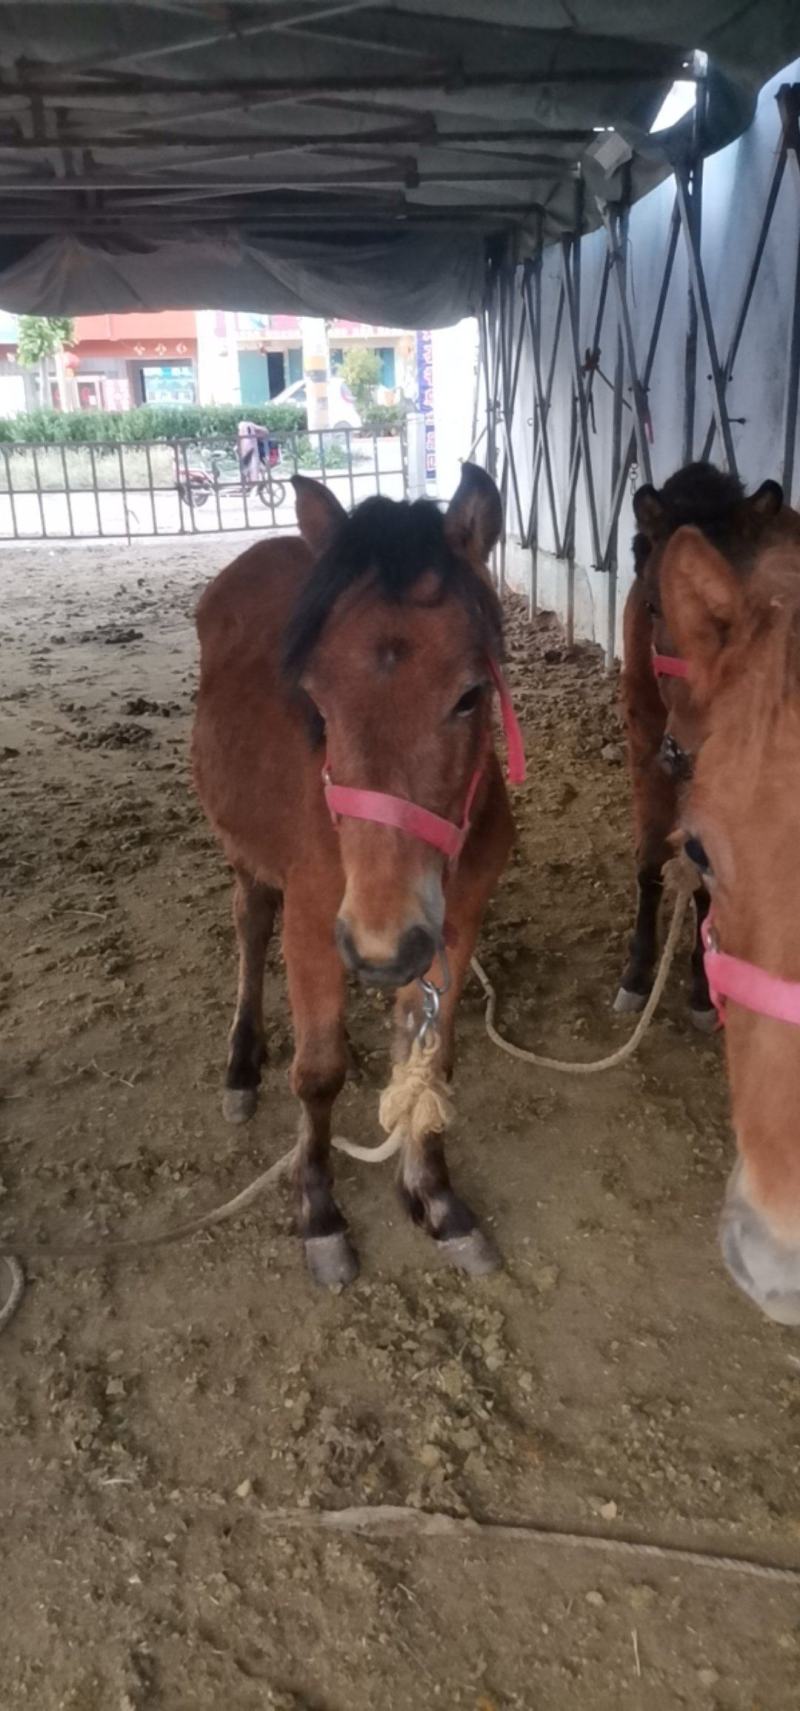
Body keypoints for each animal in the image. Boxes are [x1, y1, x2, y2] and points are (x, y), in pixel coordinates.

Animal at [192, 465, 516, 1288]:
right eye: (316, 694)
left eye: (470, 694)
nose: (379, 945)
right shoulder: (317, 926)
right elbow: (318, 1073)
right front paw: (319, 1213)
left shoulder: (454, 928)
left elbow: (428, 1060)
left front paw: (434, 1195)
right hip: (245, 852)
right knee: (251, 923)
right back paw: (241, 1067)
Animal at [616, 462, 792, 1026]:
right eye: (653, 606)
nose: (686, 751)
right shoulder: (645, 742)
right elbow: (651, 856)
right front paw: (636, 973)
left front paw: (699, 985)